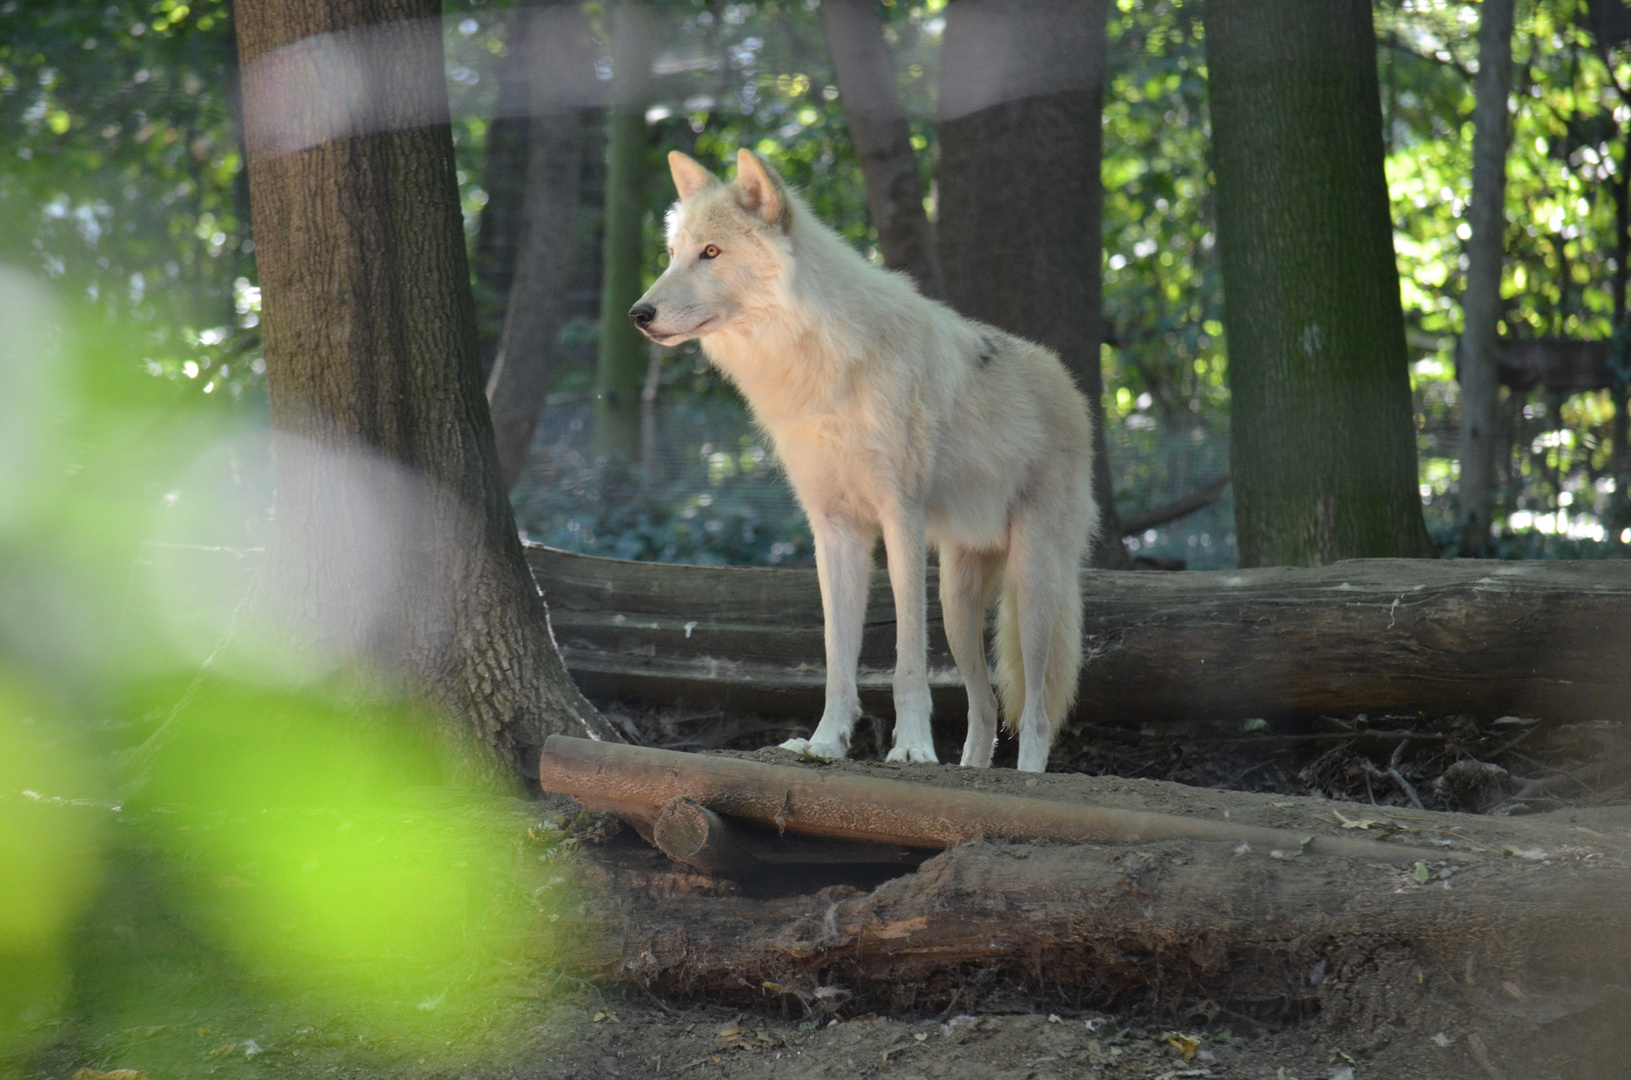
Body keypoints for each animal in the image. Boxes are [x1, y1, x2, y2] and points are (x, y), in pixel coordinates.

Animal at [623, 152, 1096, 773]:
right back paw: (970, 770)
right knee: (985, 705)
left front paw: (913, 747)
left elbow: (908, 661)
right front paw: (825, 742)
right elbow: (837, 657)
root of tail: (1071, 386)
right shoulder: (834, 530)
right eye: (674, 253)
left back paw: (1026, 777)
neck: (818, 365)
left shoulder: (901, 518)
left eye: (712, 253)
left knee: (1037, 713)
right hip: (957, 602)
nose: (638, 313)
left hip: (1031, 587)